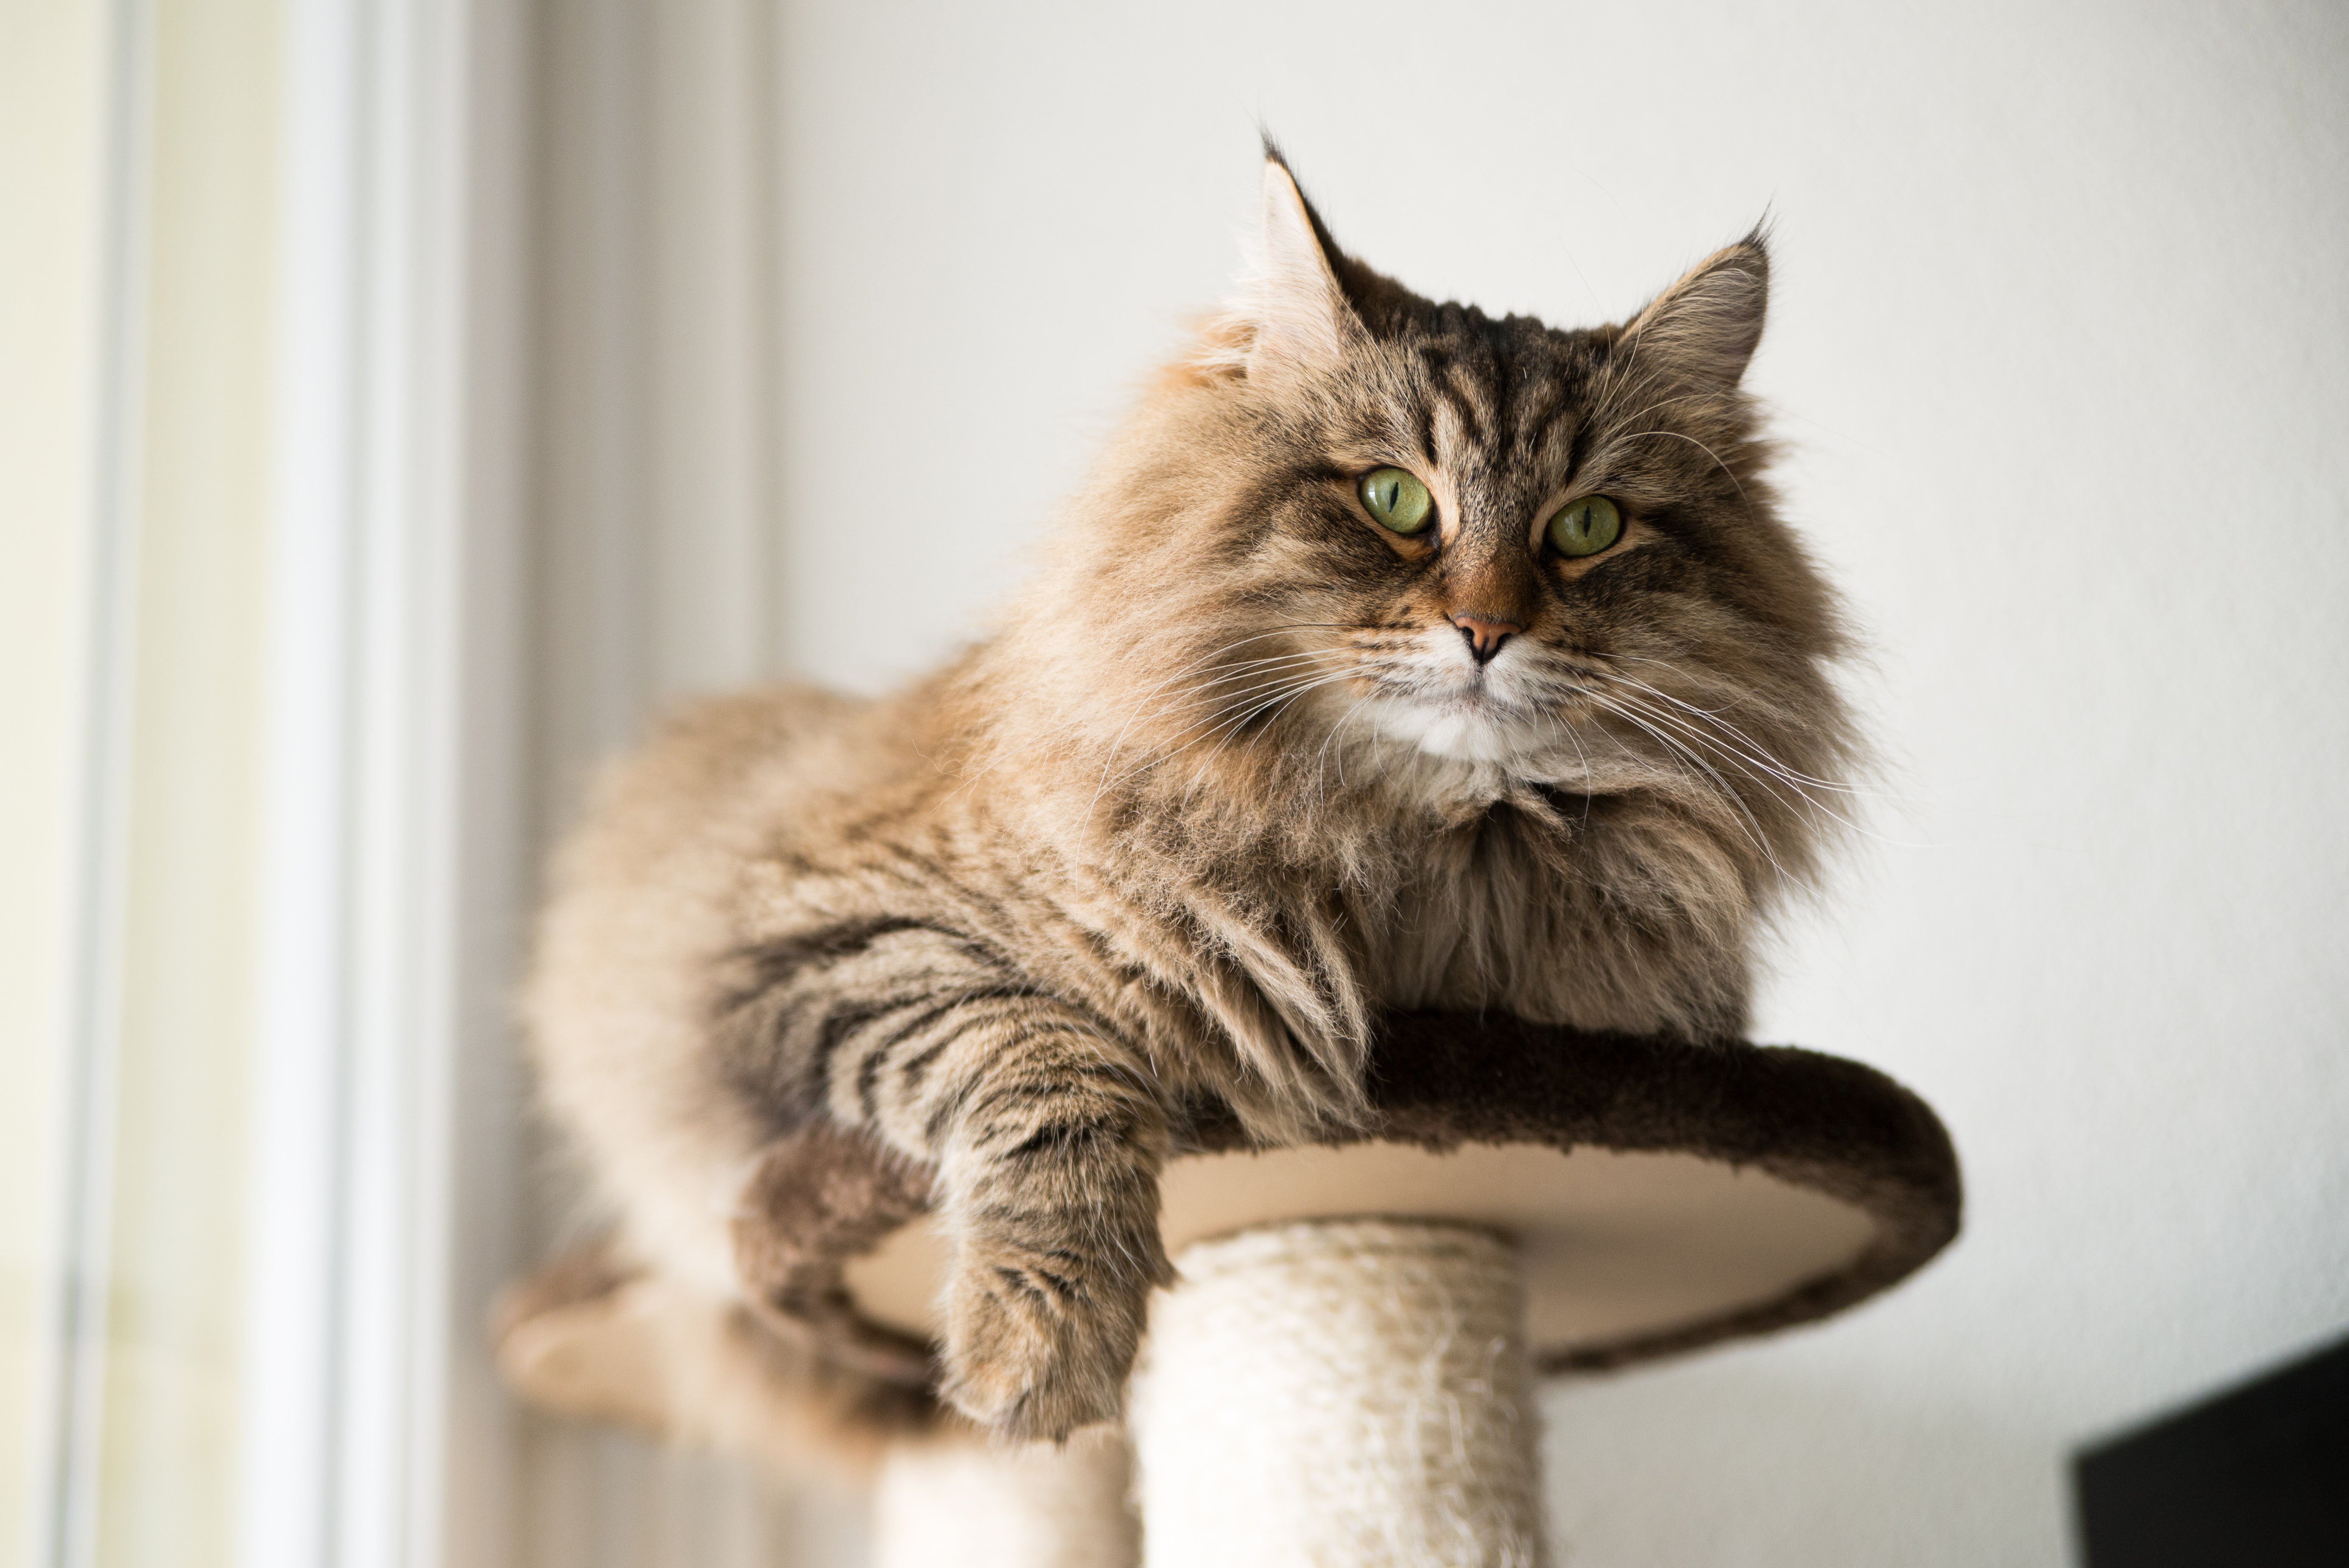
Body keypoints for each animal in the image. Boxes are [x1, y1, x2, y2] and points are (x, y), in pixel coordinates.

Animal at [528, 146, 1851, 1446]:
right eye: (1395, 500)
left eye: (1586, 526)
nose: (1486, 630)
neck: (1414, 862)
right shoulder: (817, 929)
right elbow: (1041, 1059)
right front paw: (1043, 1352)